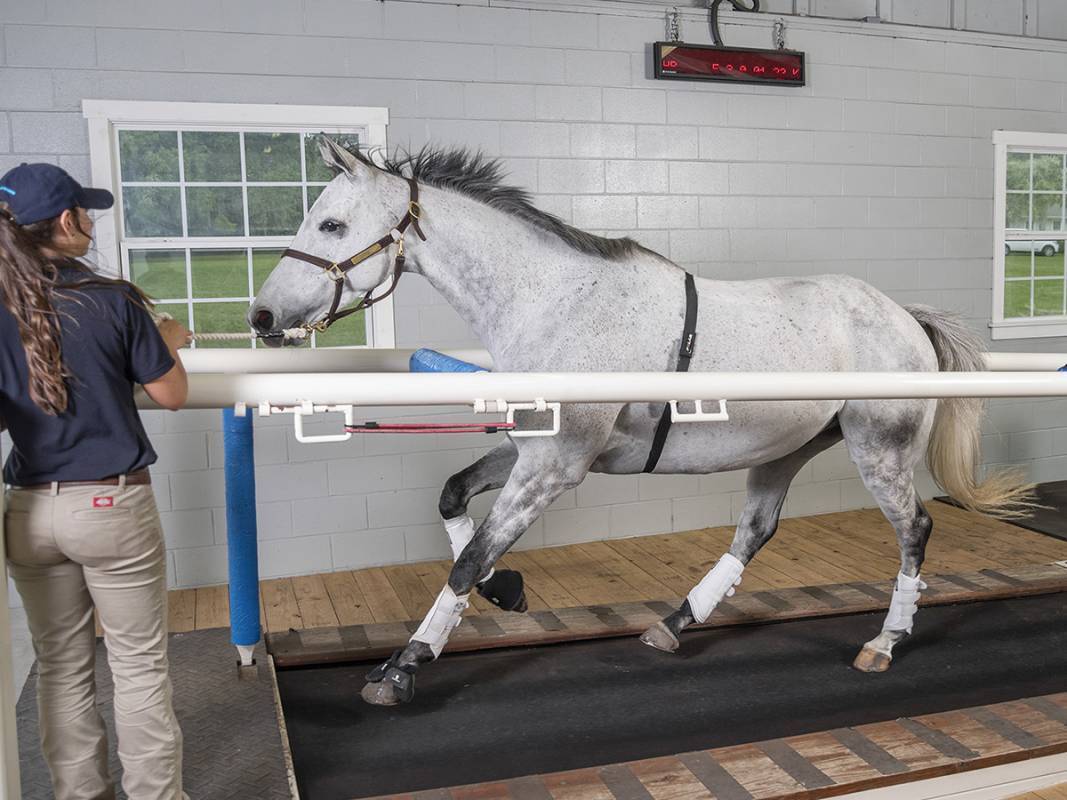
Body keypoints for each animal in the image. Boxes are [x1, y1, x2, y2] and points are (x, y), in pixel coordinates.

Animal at [251, 139, 1032, 708]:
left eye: (331, 224)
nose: (262, 316)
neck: (554, 302)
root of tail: (905, 315)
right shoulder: (535, 452)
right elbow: (453, 502)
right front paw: (505, 591)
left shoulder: (555, 467)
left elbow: (468, 558)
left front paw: (405, 663)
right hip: (784, 450)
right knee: (756, 531)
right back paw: (673, 623)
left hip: (879, 450)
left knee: (914, 530)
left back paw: (885, 640)